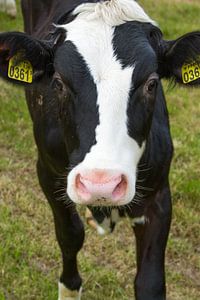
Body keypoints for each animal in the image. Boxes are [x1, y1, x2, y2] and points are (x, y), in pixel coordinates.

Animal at [0, 0, 200, 300]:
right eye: (58, 82)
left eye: (152, 83)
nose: (101, 184)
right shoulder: (46, 171)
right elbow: (70, 235)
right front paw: (69, 290)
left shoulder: (159, 194)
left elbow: (150, 282)